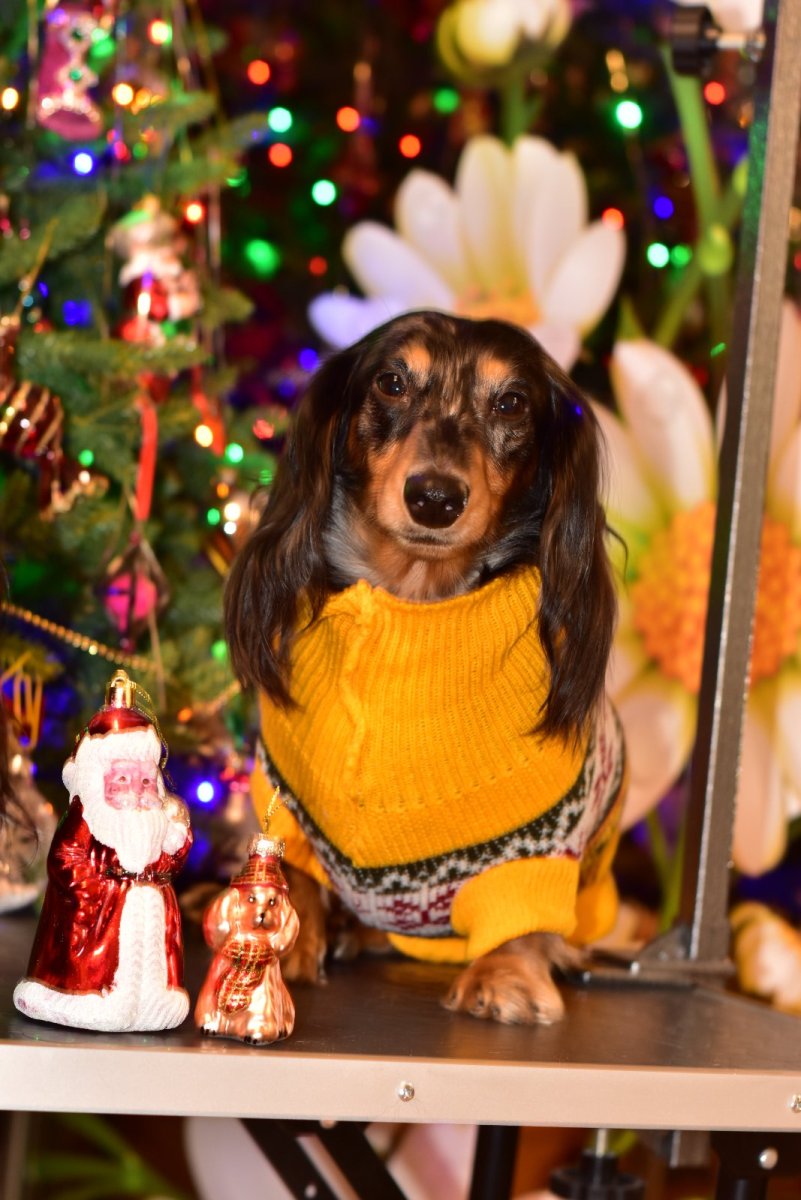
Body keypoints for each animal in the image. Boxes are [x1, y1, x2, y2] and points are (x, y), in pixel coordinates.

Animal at [224, 311, 626, 1025]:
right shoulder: (284, 801)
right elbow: (290, 868)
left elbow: (523, 915)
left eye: (512, 402)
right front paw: (287, 941)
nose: (434, 498)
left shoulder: (540, 845)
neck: (416, 603)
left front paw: (506, 975)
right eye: (391, 382)